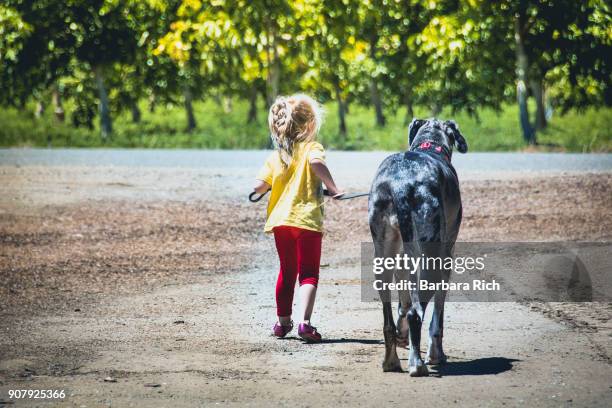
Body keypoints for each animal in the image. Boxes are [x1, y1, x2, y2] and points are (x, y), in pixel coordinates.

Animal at [368, 118, 468, 376]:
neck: (430, 145)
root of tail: (401, 185)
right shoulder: (447, 258)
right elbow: (437, 318)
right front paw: (436, 355)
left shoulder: (404, 257)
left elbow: (403, 300)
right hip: (433, 258)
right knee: (417, 313)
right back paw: (417, 364)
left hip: (383, 258)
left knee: (388, 320)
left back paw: (391, 361)